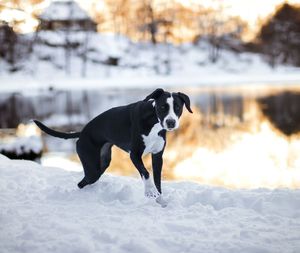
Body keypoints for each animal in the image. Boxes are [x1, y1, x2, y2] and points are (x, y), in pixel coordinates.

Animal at [32, 88, 192, 207]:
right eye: (163, 107)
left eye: (177, 108)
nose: (171, 122)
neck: (153, 121)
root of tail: (82, 132)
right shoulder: (134, 155)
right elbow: (146, 173)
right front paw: (149, 192)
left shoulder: (157, 156)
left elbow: (158, 180)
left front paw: (160, 200)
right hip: (92, 168)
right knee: (81, 183)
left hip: (101, 164)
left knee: (85, 181)